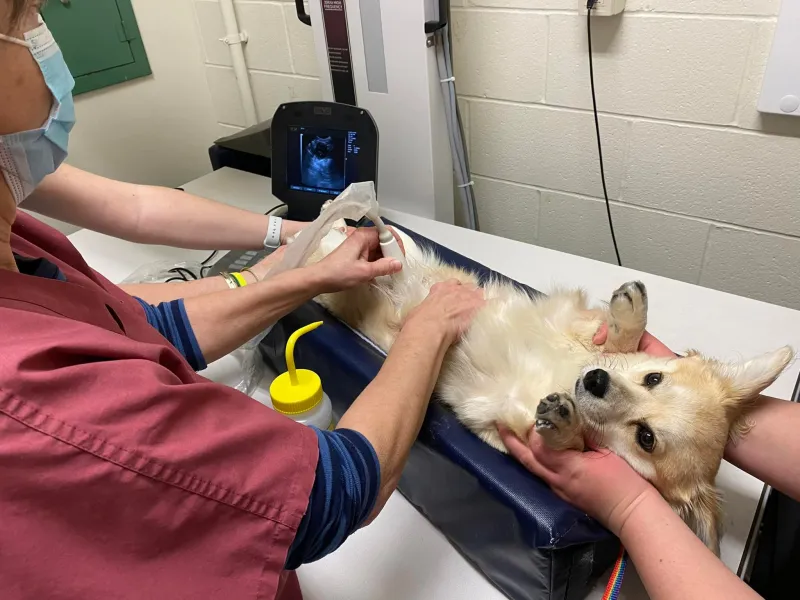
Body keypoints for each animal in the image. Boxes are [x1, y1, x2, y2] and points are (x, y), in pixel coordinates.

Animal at [304, 219, 792, 552]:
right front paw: (629, 314)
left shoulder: (503, 420)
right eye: (654, 378)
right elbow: (617, 338)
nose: (594, 382)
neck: (568, 371)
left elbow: (562, 438)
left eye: (646, 438)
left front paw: (564, 423)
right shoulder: (575, 326)